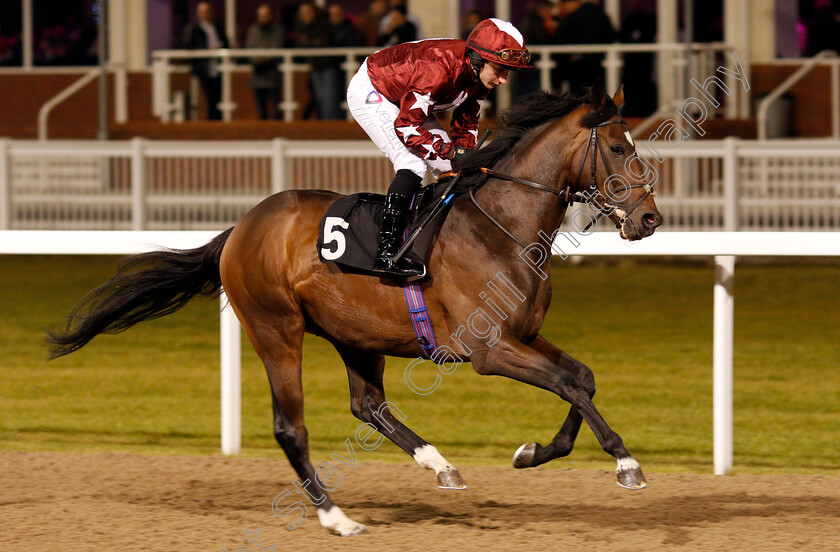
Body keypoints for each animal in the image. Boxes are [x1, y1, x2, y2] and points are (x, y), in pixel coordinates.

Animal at [47, 84, 664, 536]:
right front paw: (625, 464)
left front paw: (533, 452)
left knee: (367, 404)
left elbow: (581, 377)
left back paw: (440, 466)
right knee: (290, 426)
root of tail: (241, 228)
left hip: (356, 334)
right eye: (617, 148)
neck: (499, 227)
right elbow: (569, 384)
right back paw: (335, 517)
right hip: (276, 329)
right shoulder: (490, 350)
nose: (649, 218)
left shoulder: (524, 335)